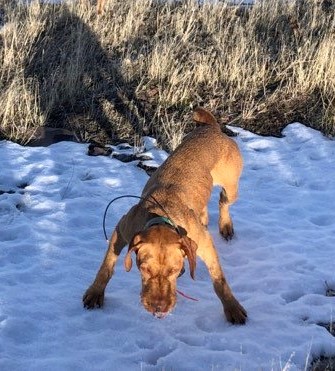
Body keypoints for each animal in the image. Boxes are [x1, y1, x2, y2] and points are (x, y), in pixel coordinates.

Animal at [83, 108, 248, 326]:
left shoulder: (205, 245)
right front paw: (95, 292)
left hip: (231, 187)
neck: (161, 216)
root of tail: (212, 128)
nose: (158, 307)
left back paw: (226, 225)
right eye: (144, 269)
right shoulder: (121, 230)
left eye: (174, 270)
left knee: (223, 201)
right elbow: (106, 266)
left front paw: (232, 307)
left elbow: (219, 279)